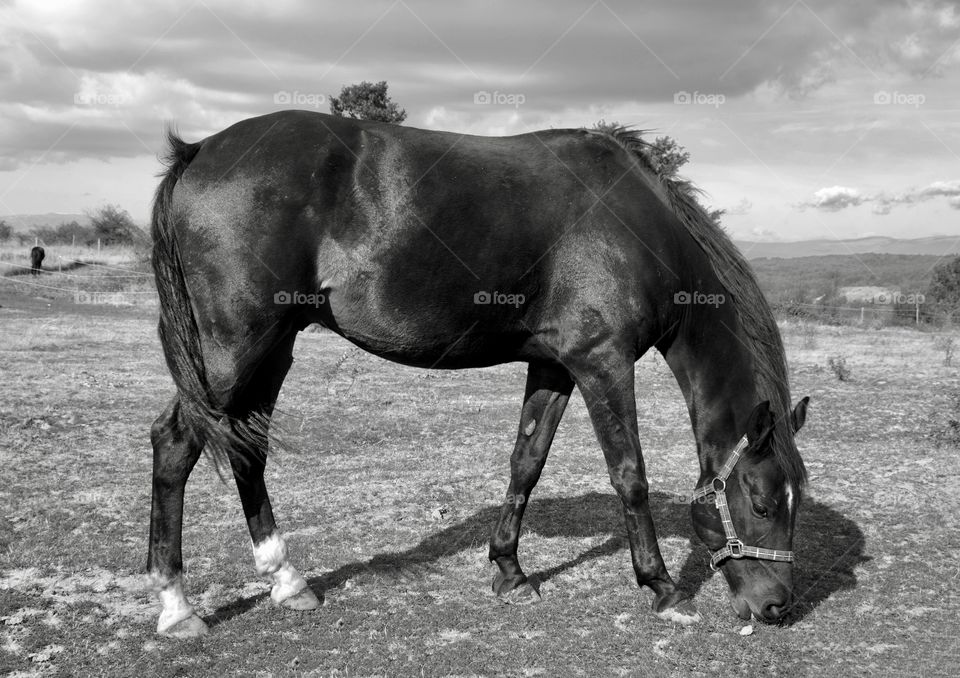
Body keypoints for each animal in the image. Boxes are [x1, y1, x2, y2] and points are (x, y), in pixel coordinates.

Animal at [148, 111, 809, 638]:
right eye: (762, 502)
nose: (777, 607)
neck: (639, 225)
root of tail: (198, 151)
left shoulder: (553, 366)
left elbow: (527, 463)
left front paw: (511, 572)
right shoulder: (602, 362)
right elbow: (630, 476)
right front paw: (662, 586)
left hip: (272, 349)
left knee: (246, 451)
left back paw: (288, 583)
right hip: (234, 350)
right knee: (175, 444)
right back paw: (178, 608)